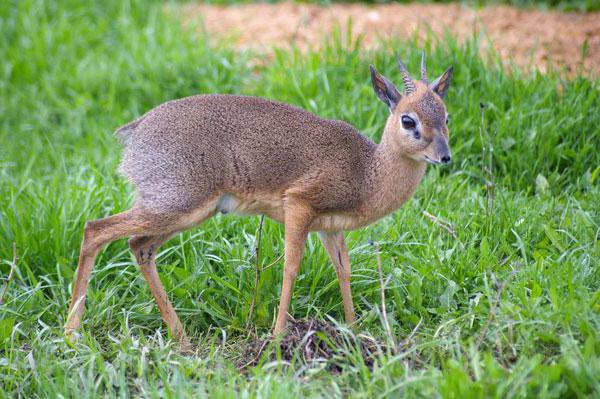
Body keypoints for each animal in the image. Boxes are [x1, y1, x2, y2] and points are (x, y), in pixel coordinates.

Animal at [65, 54, 450, 350]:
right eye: (408, 120)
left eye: (446, 116)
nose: (444, 157)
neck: (367, 171)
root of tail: (138, 127)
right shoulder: (299, 206)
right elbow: (291, 267)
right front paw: (278, 337)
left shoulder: (330, 228)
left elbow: (344, 270)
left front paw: (354, 332)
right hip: (175, 206)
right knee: (96, 229)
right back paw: (71, 333)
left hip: (185, 214)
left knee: (138, 246)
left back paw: (182, 340)